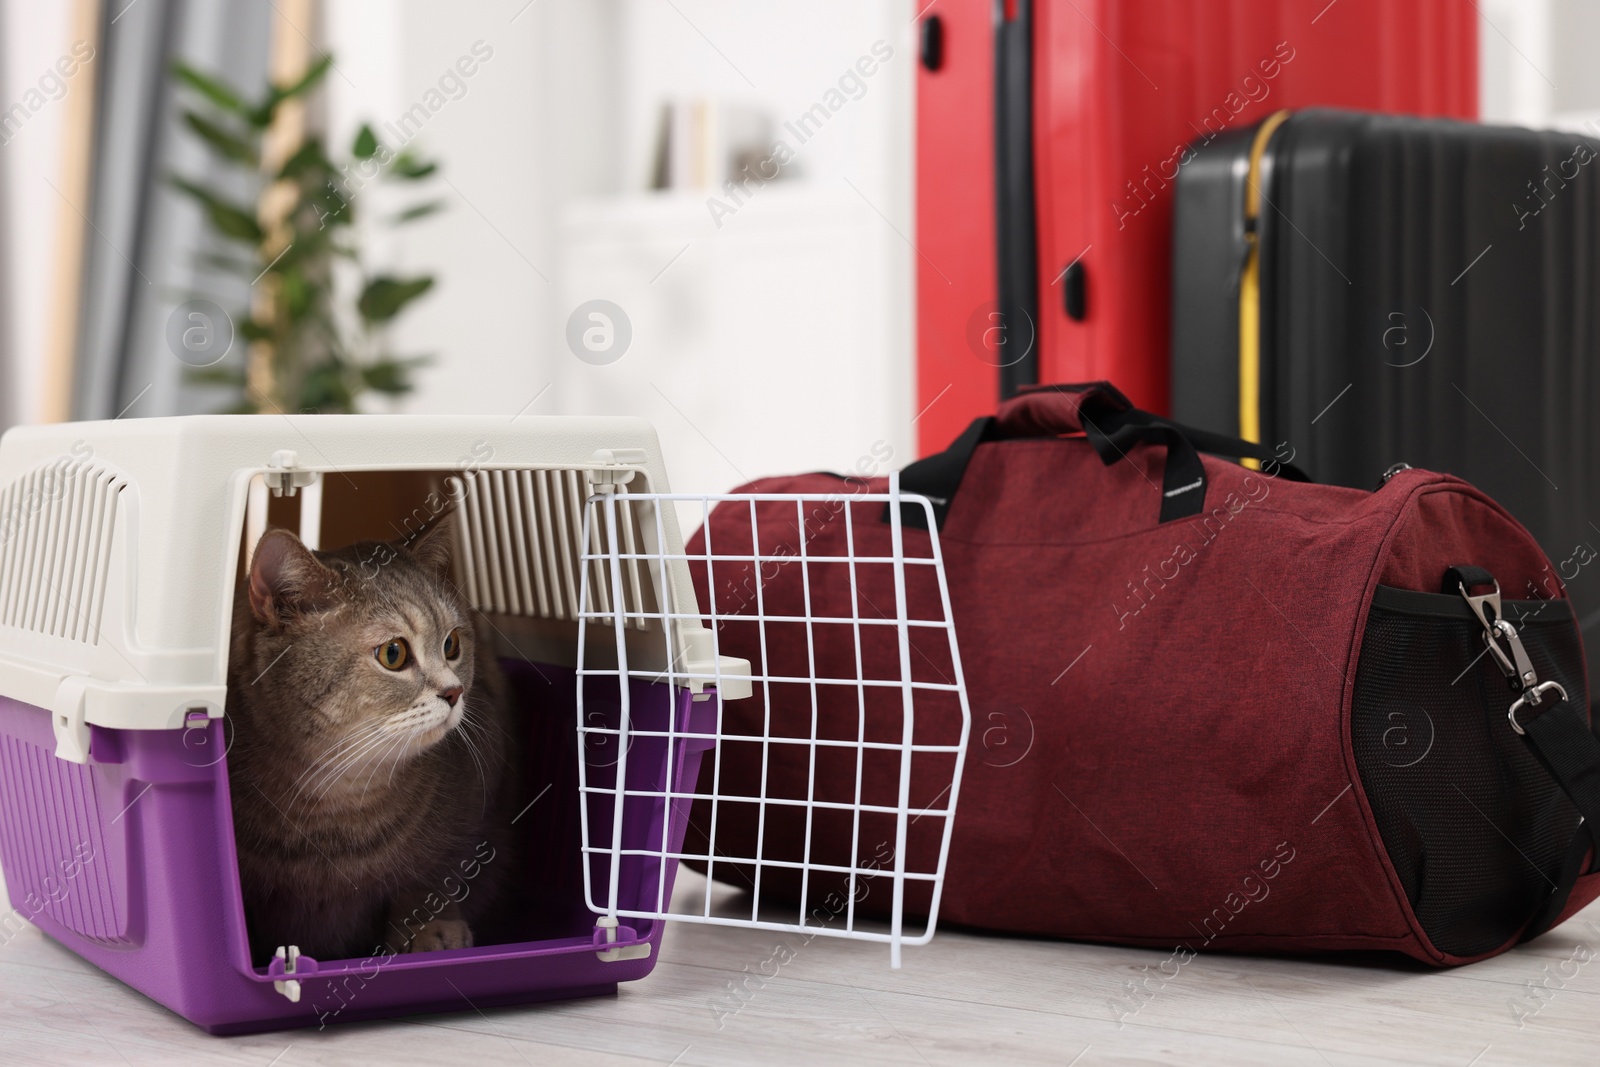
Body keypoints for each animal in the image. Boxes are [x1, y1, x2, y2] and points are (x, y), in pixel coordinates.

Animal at [225, 521, 508, 966]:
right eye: (393, 653)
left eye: (452, 645)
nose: (455, 692)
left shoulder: (472, 811)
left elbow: (430, 879)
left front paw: (430, 930)